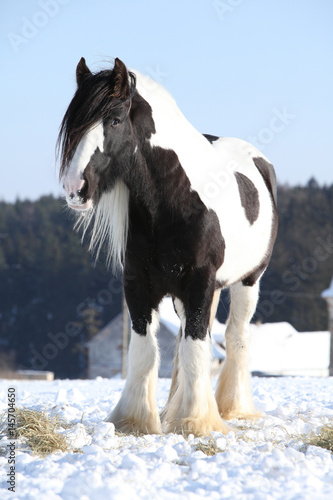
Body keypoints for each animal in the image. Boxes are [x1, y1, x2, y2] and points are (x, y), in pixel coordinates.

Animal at [57, 56, 278, 436]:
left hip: (248, 282)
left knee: (236, 337)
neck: (175, 199)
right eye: (73, 123)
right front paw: (136, 420)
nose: (75, 188)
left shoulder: (200, 281)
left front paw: (195, 421)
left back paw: (232, 409)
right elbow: (146, 350)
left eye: (114, 119)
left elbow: (195, 346)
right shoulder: (138, 282)